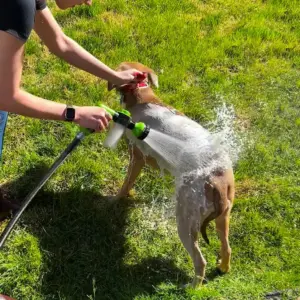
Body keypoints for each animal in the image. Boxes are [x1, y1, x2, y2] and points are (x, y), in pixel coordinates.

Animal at [106, 61, 236, 288]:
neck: (144, 98)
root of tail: (217, 182)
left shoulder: (137, 156)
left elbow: (126, 183)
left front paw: (115, 199)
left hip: (186, 221)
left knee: (200, 261)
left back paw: (192, 288)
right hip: (223, 217)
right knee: (226, 248)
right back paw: (222, 268)